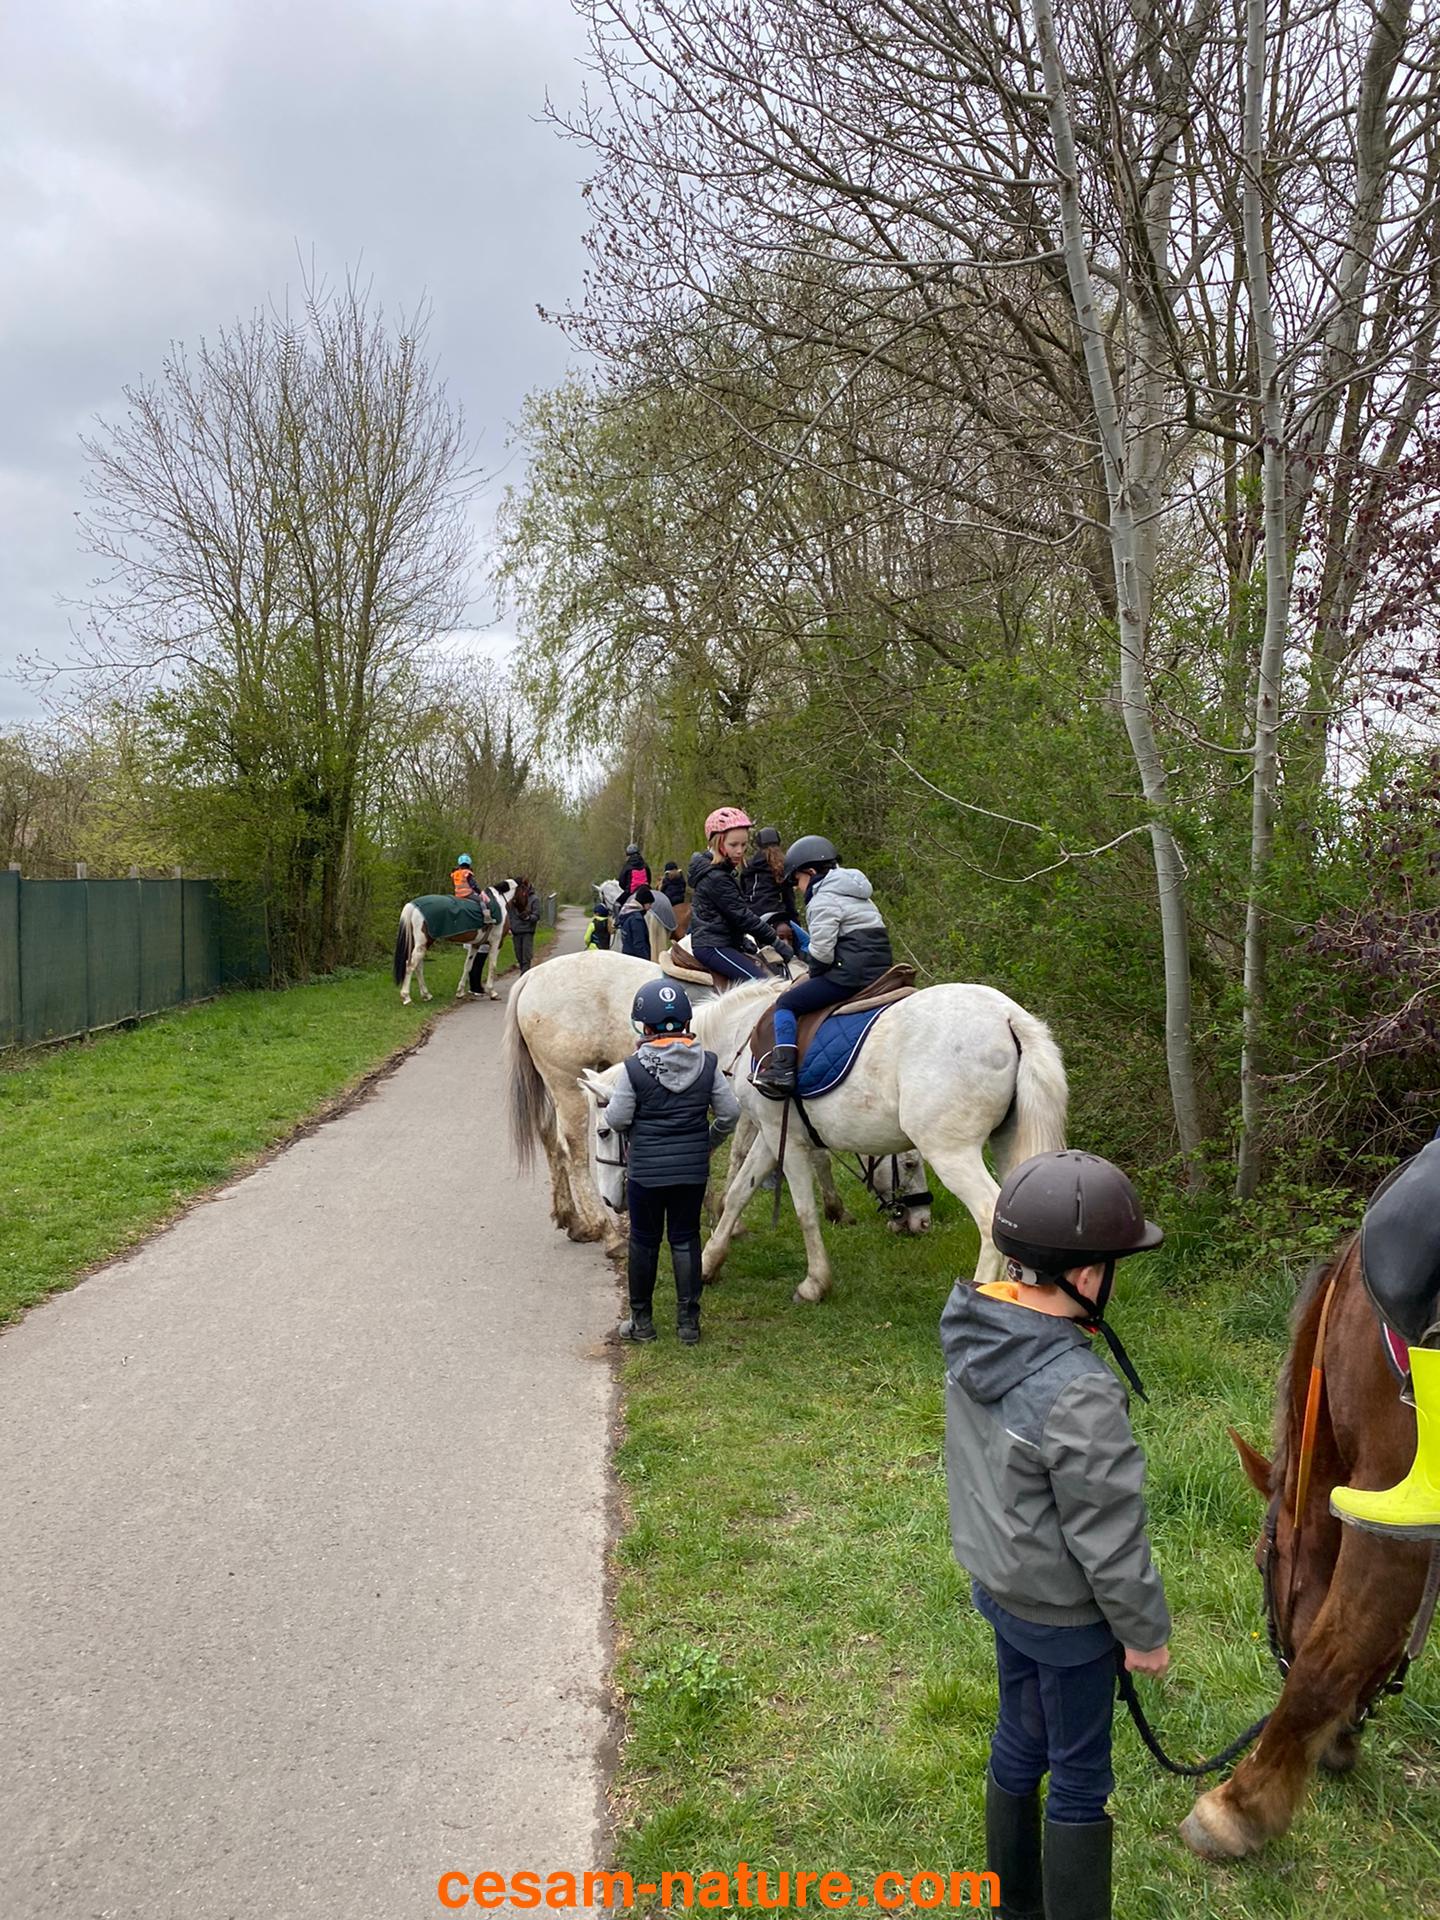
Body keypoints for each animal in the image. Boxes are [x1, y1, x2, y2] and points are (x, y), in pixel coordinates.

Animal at [637, 974, 1069, 1303]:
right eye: (908, 1165)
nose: (922, 1224)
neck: (741, 1033)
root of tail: (1008, 1016)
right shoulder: (772, 1135)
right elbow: (741, 1190)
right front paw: (710, 1261)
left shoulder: (786, 1141)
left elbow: (804, 1211)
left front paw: (815, 1283)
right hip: (1008, 1146)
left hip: (952, 1152)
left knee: (989, 1214)